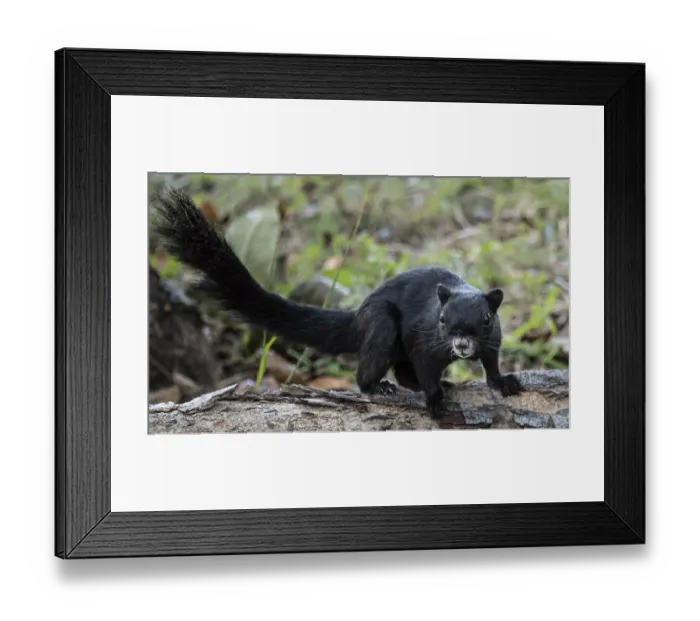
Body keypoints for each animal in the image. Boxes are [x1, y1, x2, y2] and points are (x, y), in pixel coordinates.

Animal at [153, 188, 524, 418]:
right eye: (443, 319)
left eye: (485, 320)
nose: (461, 344)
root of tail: (358, 316)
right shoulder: (425, 341)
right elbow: (426, 370)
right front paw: (435, 401)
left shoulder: (492, 341)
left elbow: (491, 364)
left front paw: (503, 382)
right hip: (383, 327)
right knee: (373, 373)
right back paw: (381, 388)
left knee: (403, 371)